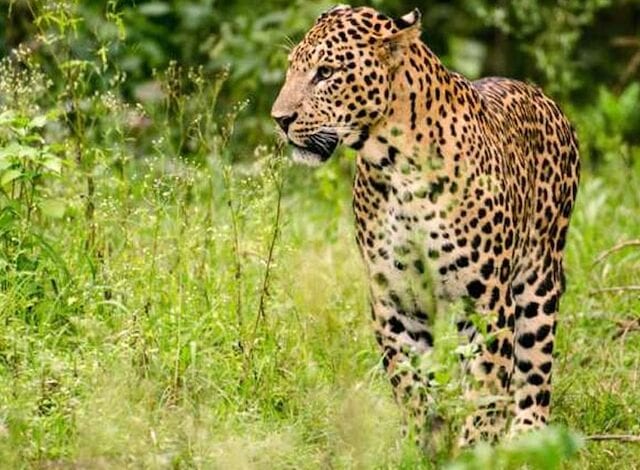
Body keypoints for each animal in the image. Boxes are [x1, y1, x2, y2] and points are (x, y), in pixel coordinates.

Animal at [271, 5, 580, 447]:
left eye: (325, 73)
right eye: (292, 68)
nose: (280, 119)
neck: (395, 165)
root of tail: (541, 95)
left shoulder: (486, 301)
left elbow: (485, 387)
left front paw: (473, 449)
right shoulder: (397, 299)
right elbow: (410, 382)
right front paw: (421, 444)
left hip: (538, 279)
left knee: (534, 370)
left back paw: (528, 436)